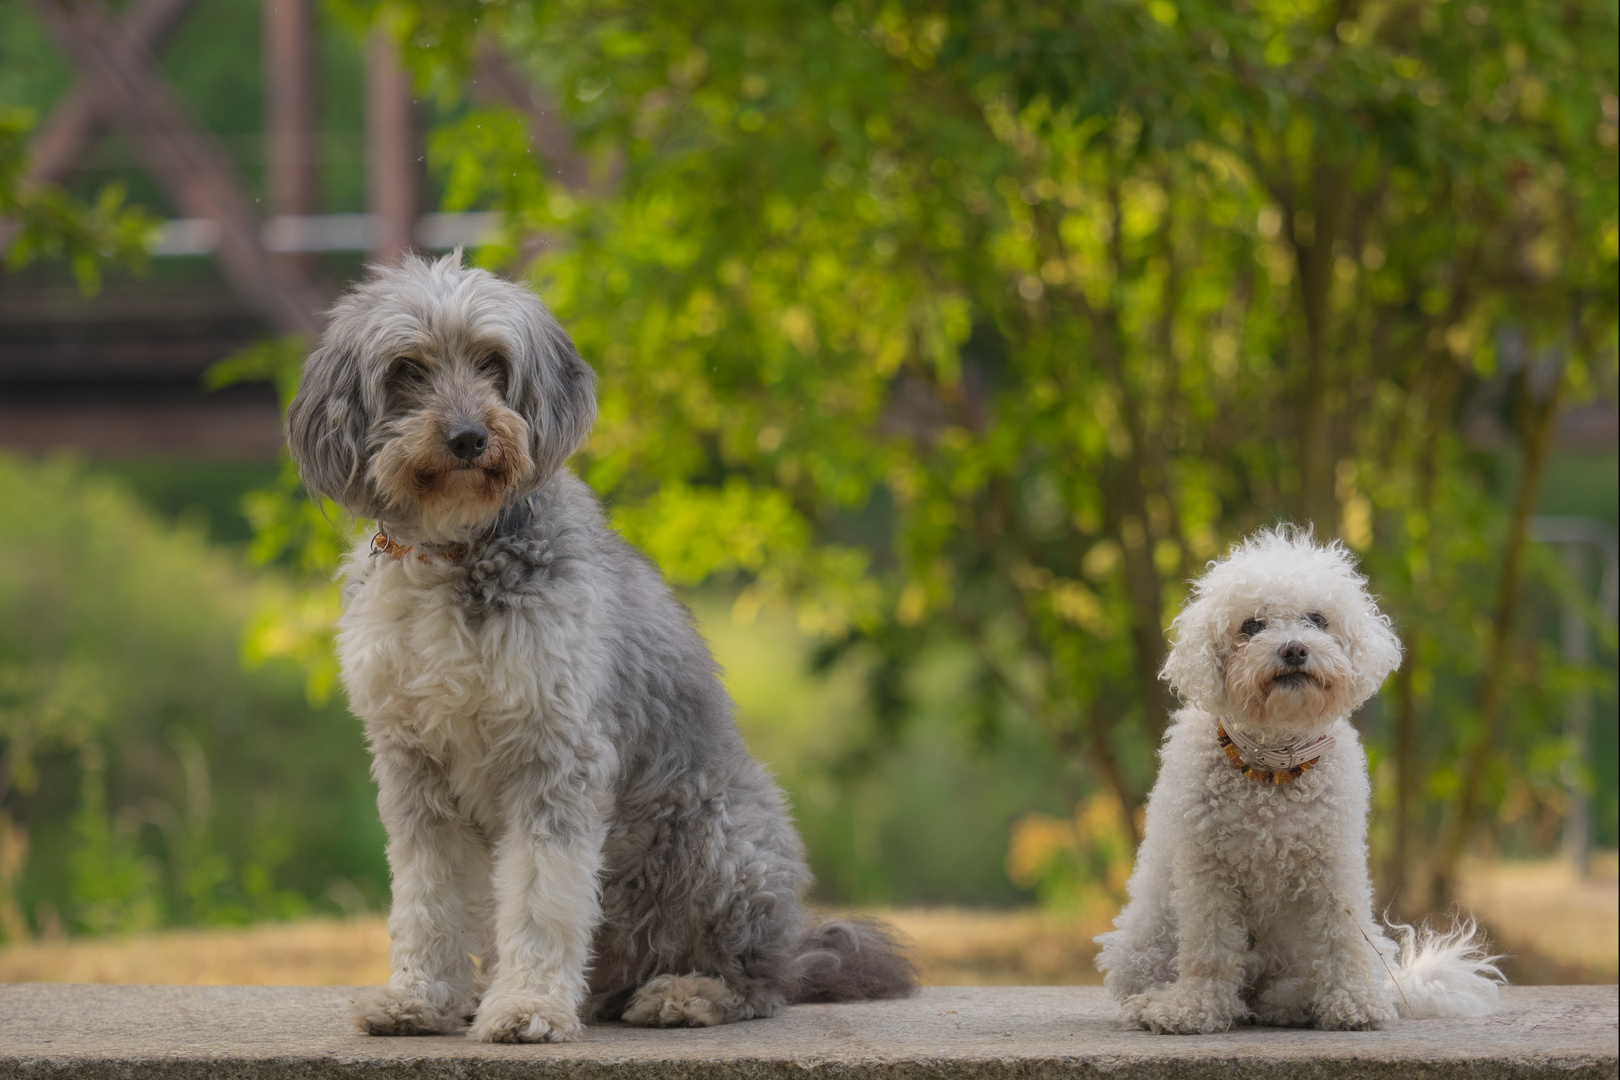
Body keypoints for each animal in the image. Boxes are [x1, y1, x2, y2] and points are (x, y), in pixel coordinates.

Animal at [288, 249, 913, 1042]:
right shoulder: (414, 767)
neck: (458, 549)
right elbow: (426, 898)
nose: (468, 439)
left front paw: (526, 1008)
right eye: (408, 368)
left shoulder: (555, 754)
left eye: (493, 363)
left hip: (717, 838)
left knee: (758, 980)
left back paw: (685, 994)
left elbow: (541, 896)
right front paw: (419, 999)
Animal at [1095, 527, 1496, 1036]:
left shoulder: (1334, 865)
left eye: (1317, 619)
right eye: (1250, 626)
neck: (1273, 764)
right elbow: (1209, 948)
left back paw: (1292, 1003)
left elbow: (1341, 937)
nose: (1293, 649)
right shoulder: (1207, 871)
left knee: (1304, 979)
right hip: (1141, 942)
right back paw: (1161, 1001)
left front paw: (1353, 1004)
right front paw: (1194, 1009)